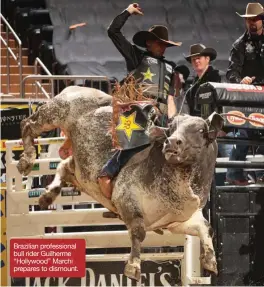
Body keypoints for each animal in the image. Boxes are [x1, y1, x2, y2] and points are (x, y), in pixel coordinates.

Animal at [16, 85, 223, 282]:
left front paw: (211, 262)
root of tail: (79, 88)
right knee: (28, 124)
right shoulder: (126, 198)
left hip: (79, 166)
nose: (172, 142)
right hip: (54, 113)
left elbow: (207, 228)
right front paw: (133, 267)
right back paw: (26, 160)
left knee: (65, 166)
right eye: (171, 127)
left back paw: (47, 195)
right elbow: (138, 231)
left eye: (201, 131)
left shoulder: (176, 223)